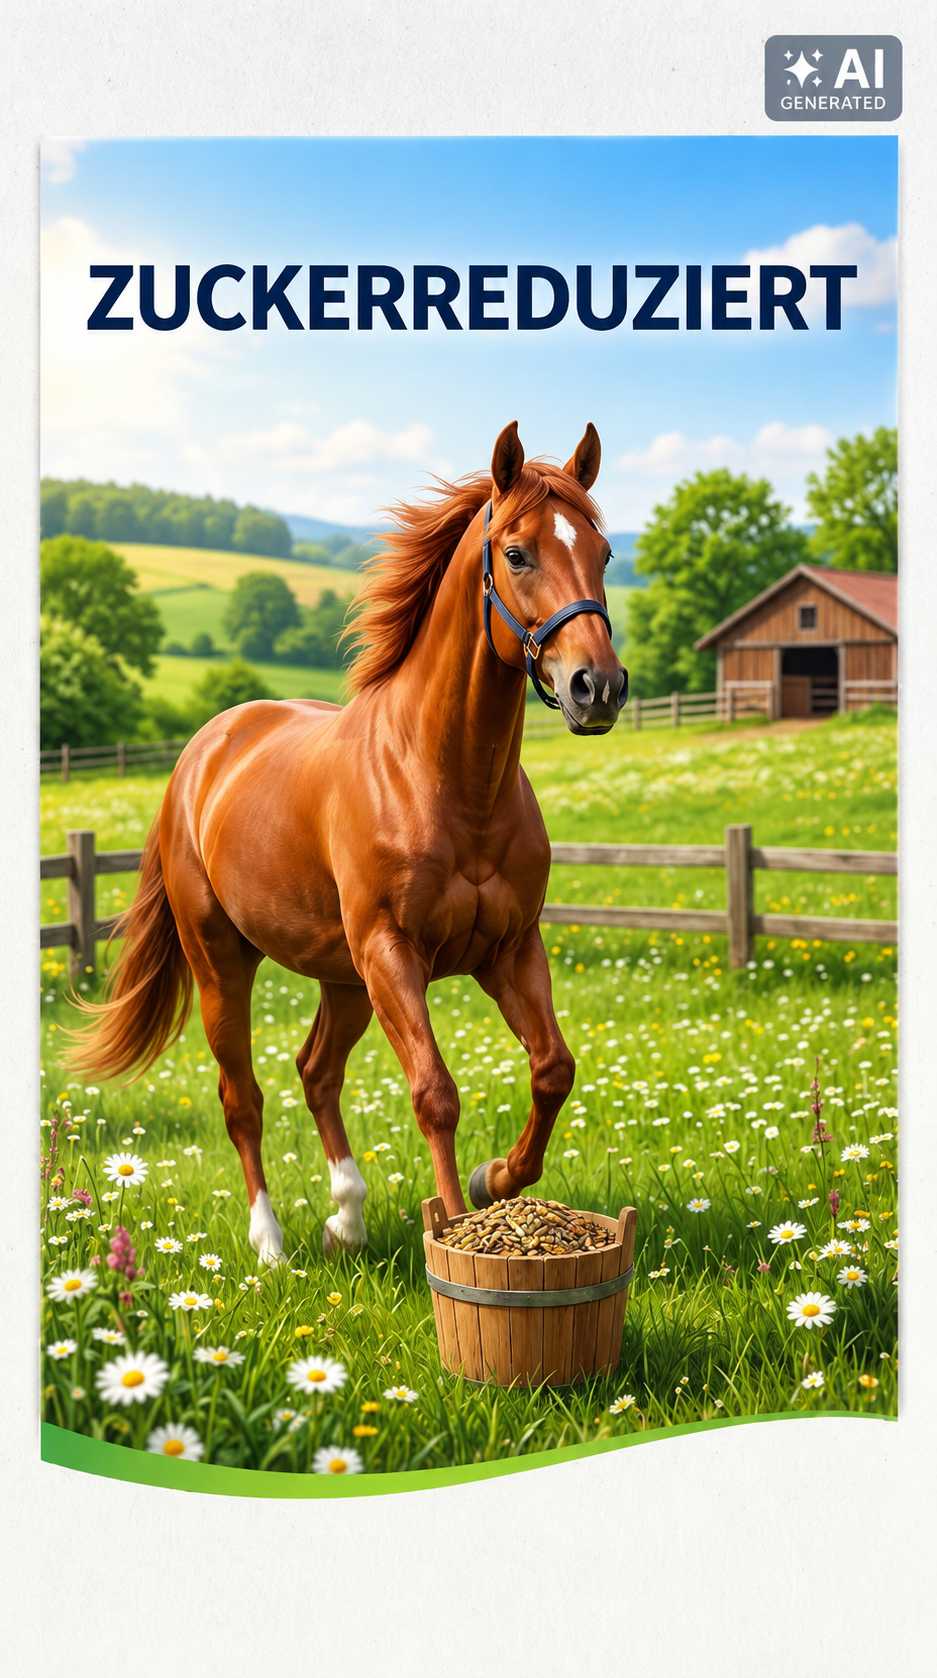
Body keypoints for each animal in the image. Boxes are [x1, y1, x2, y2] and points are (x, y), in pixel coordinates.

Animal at [71, 422, 627, 1264]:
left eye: (603, 551)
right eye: (518, 552)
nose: (597, 688)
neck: (445, 778)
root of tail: (202, 753)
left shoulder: (509, 950)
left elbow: (552, 1069)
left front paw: (495, 1180)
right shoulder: (392, 953)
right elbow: (435, 1092)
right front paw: (457, 1226)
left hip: (343, 979)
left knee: (316, 1072)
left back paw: (348, 1219)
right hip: (226, 965)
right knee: (243, 1097)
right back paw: (270, 1244)